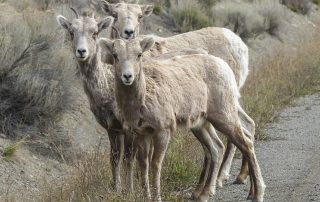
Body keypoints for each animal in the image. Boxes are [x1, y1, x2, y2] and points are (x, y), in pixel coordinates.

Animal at [55, 11, 136, 193]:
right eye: (72, 32)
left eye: (95, 33)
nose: (82, 51)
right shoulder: (112, 129)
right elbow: (114, 159)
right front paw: (116, 189)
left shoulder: (129, 130)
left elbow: (129, 161)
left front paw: (130, 191)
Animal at [100, 37, 264, 202]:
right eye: (115, 55)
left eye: (139, 55)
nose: (127, 76)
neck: (141, 100)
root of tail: (224, 66)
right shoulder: (142, 133)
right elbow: (143, 165)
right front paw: (147, 196)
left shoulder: (163, 131)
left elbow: (155, 164)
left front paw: (157, 197)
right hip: (201, 124)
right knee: (216, 148)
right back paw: (205, 194)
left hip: (224, 116)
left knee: (246, 144)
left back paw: (257, 194)